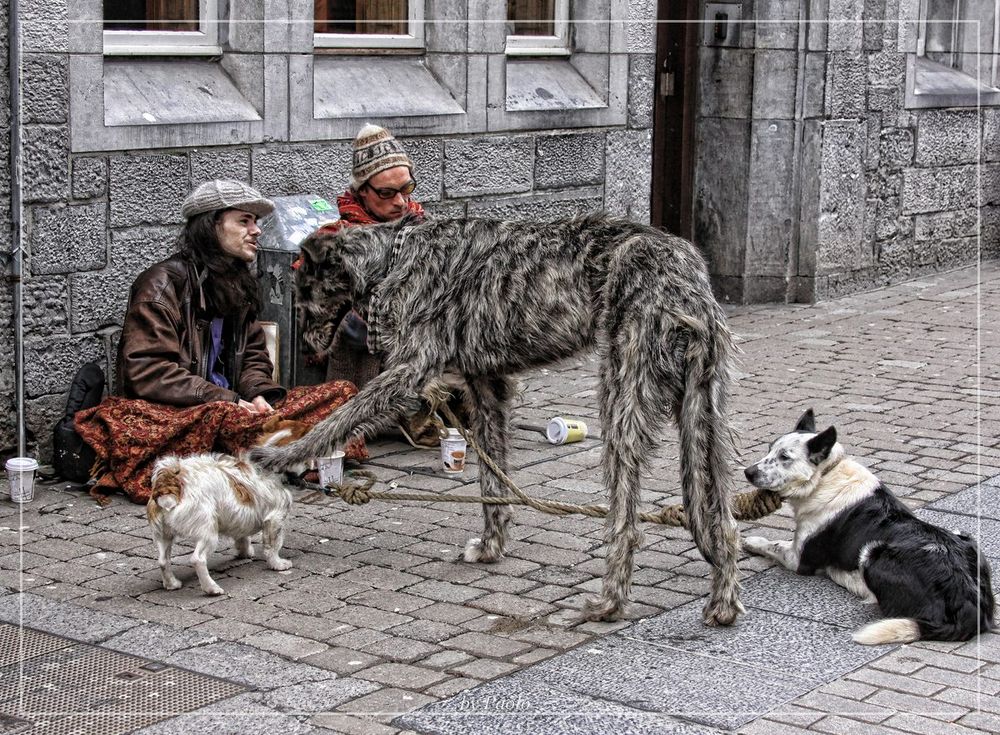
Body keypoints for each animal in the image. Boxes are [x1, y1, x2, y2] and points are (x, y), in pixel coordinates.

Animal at [147, 416, 308, 596]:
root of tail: (170, 482)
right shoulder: (275, 518)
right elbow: (273, 545)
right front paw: (277, 564)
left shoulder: (241, 518)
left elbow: (242, 537)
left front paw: (244, 552)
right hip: (207, 532)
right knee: (197, 559)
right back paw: (211, 588)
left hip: (163, 533)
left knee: (163, 560)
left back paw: (172, 583)